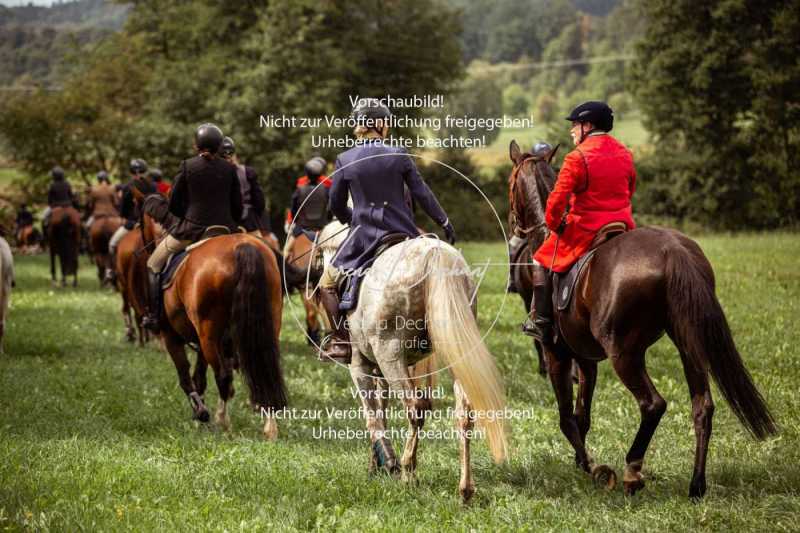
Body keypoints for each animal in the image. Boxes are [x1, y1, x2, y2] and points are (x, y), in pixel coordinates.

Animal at [129, 187, 284, 436]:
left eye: (140, 222)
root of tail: (242, 246)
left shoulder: (171, 336)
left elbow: (185, 377)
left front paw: (201, 413)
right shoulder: (199, 341)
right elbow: (199, 377)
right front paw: (199, 413)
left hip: (209, 333)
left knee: (224, 376)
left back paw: (223, 421)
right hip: (267, 325)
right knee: (266, 370)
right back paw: (270, 426)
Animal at [314, 219, 506, 498]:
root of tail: (434, 256)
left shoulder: (361, 366)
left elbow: (372, 416)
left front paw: (385, 463)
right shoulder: (387, 369)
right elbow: (382, 410)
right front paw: (377, 464)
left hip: (390, 355)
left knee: (415, 407)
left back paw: (407, 471)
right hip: (454, 349)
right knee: (463, 414)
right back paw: (465, 488)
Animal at [510, 139, 780, 496]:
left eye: (510, 182)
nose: (514, 226)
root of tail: (672, 250)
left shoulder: (558, 353)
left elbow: (566, 417)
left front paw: (592, 467)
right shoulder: (586, 359)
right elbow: (582, 416)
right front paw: (582, 462)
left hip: (623, 353)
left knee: (653, 404)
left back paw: (632, 473)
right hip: (687, 343)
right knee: (702, 407)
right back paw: (696, 484)